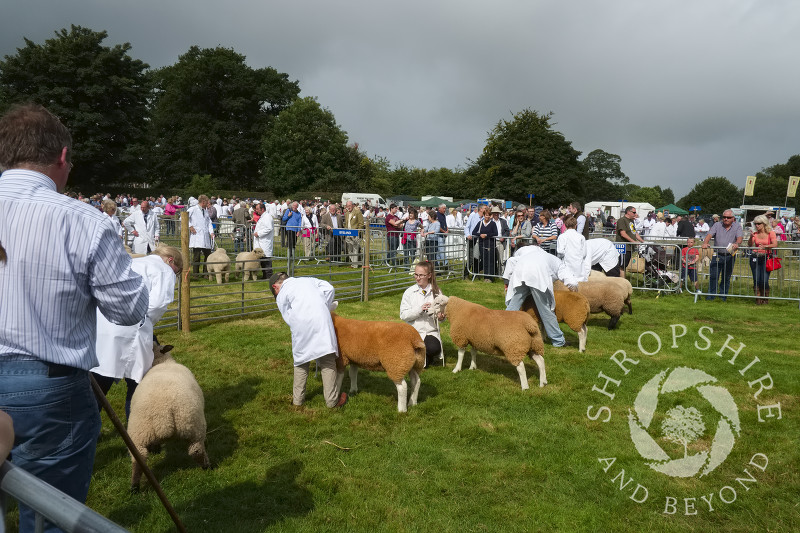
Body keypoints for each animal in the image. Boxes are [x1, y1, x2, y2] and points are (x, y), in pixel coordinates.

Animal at [127, 342, 209, 492]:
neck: (163, 362)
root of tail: (163, 417)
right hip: (194, 427)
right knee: (196, 450)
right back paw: (206, 466)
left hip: (139, 435)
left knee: (139, 459)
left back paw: (135, 487)